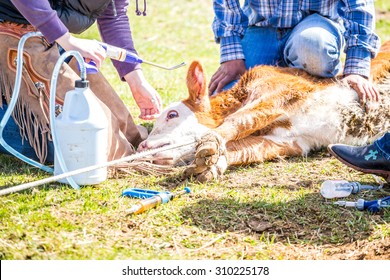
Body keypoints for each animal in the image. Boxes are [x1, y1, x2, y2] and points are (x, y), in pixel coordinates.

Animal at [138, 41, 390, 182]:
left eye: (172, 114)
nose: (141, 146)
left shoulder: (280, 91)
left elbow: (240, 120)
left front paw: (211, 142)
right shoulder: (290, 142)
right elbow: (243, 149)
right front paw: (213, 165)